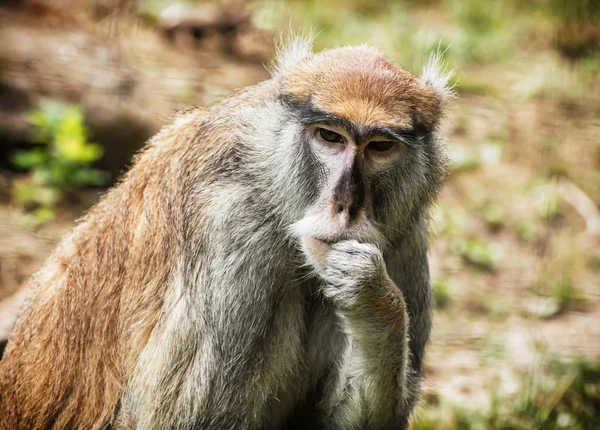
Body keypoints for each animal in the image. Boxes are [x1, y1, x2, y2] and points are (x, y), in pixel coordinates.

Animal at [0, 38, 450, 428]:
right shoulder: (233, 228)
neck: (267, 174)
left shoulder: (405, 239)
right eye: (329, 137)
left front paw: (374, 299)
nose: (346, 205)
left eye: (380, 147)